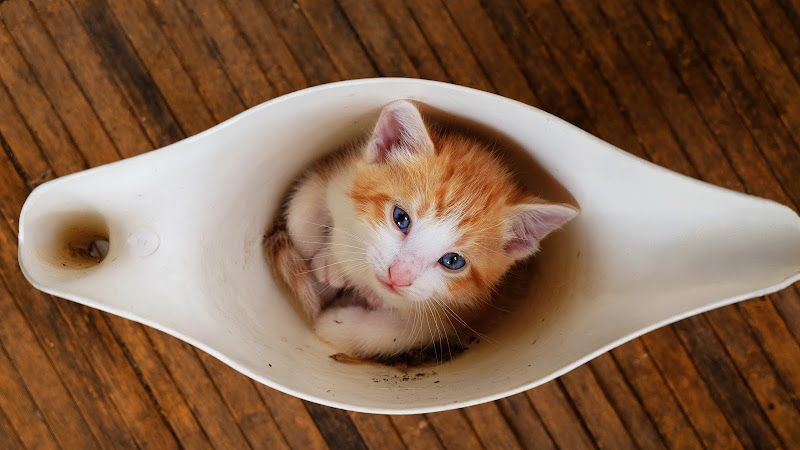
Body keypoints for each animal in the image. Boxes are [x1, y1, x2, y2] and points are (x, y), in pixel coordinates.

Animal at [266, 99, 580, 362]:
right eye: (401, 218)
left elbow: (399, 334)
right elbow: (305, 203)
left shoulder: (466, 312)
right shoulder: (344, 172)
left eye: (453, 261)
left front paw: (331, 323)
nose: (398, 276)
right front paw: (326, 259)